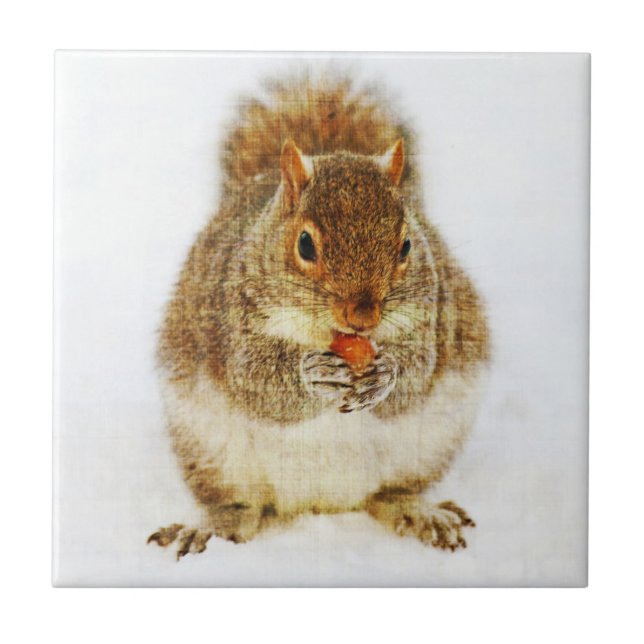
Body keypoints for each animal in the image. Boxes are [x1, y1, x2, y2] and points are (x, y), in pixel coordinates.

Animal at [148, 76, 489, 559]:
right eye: (305, 245)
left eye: (406, 245)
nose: (363, 316)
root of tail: (321, 502)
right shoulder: (232, 320)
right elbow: (258, 382)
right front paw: (312, 375)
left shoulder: (433, 319)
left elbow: (416, 377)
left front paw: (385, 374)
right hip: (210, 451)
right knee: (239, 506)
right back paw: (212, 527)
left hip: (430, 444)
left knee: (388, 495)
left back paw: (419, 513)